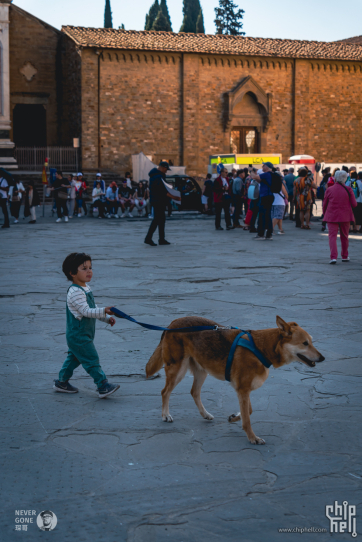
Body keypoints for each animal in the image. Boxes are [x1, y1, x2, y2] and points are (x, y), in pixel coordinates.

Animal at [146, 316, 326, 444]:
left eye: (311, 341)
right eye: (305, 343)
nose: (322, 358)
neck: (262, 348)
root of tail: (172, 323)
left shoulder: (244, 390)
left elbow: (248, 411)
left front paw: (234, 417)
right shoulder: (243, 389)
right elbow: (248, 419)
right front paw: (253, 438)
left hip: (202, 370)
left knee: (194, 392)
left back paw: (205, 414)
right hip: (177, 369)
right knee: (165, 391)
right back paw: (165, 415)